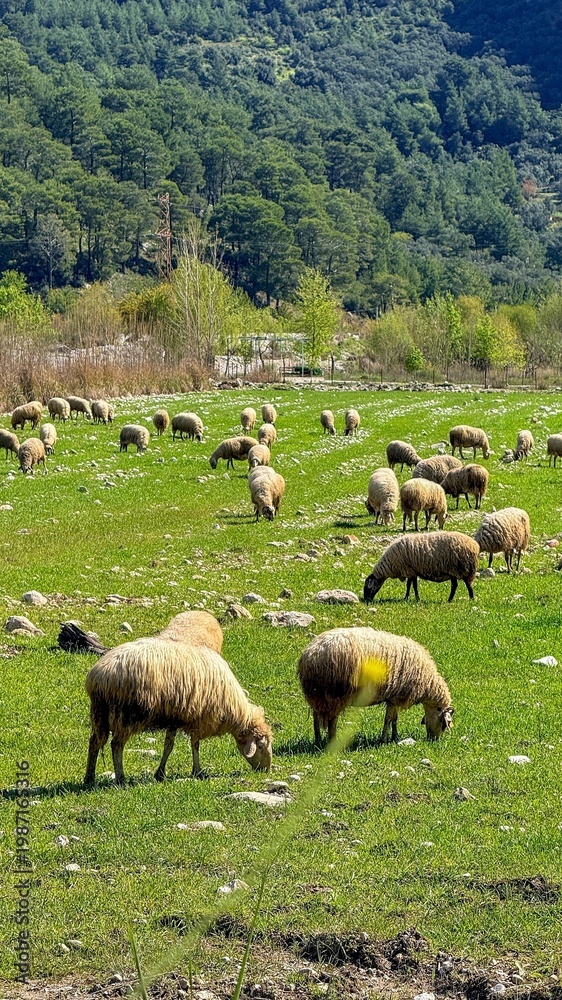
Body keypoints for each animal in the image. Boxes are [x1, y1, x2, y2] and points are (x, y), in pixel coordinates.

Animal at [84, 614, 272, 786]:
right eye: (261, 746)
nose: (266, 769)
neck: (234, 709)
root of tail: (100, 677)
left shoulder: (175, 716)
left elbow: (168, 745)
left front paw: (160, 773)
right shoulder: (198, 717)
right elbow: (195, 744)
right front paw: (197, 771)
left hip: (99, 713)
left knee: (94, 742)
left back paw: (89, 778)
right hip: (128, 714)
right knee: (116, 745)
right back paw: (120, 779)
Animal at [297, 626, 454, 748]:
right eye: (443, 724)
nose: (434, 740)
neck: (427, 684)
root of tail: (311, 656)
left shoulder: (393, 698)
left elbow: (394, 719)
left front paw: (394, 737)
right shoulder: (394, 697)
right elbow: (388, 720)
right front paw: (383, 740)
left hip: (317, 695)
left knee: (316, 718)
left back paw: (318, 741)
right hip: (335, 694)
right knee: (332, 720)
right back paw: (332, 741)